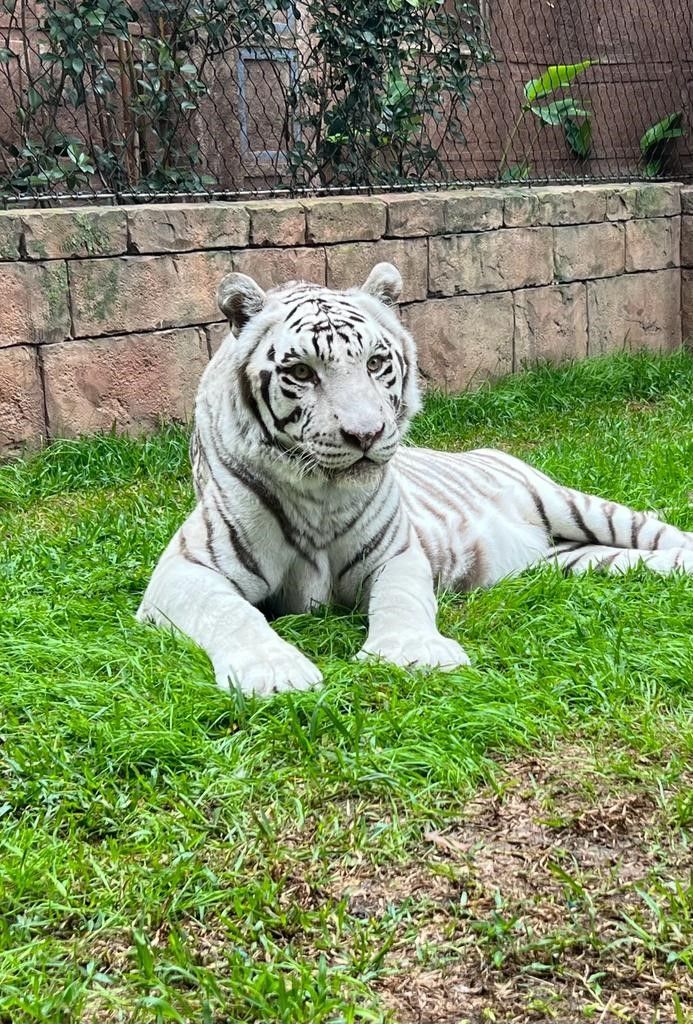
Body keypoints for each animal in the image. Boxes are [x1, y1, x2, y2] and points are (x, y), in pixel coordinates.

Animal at [137, 262, 693, 696]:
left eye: (376, 362)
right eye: (301, 372)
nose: (365, 434)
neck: (322, 496)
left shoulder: (396, 553)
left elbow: (402, 599)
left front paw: (414, 653)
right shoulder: (185, 568)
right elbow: (231, 613)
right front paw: (275, 672)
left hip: (572, 504)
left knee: (662, 533)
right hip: (575, 561)